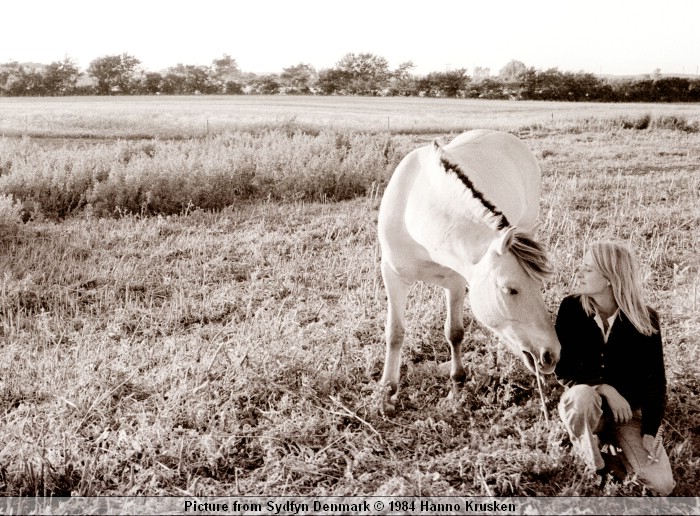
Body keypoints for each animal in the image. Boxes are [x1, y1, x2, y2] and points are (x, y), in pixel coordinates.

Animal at [374, 129, 560, 416]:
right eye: (510, 289)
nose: (551, 354)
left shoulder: (456, 281)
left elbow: (454, 333)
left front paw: (457, 386)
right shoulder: (393, 276)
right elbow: (395, 333)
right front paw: (387, 394)